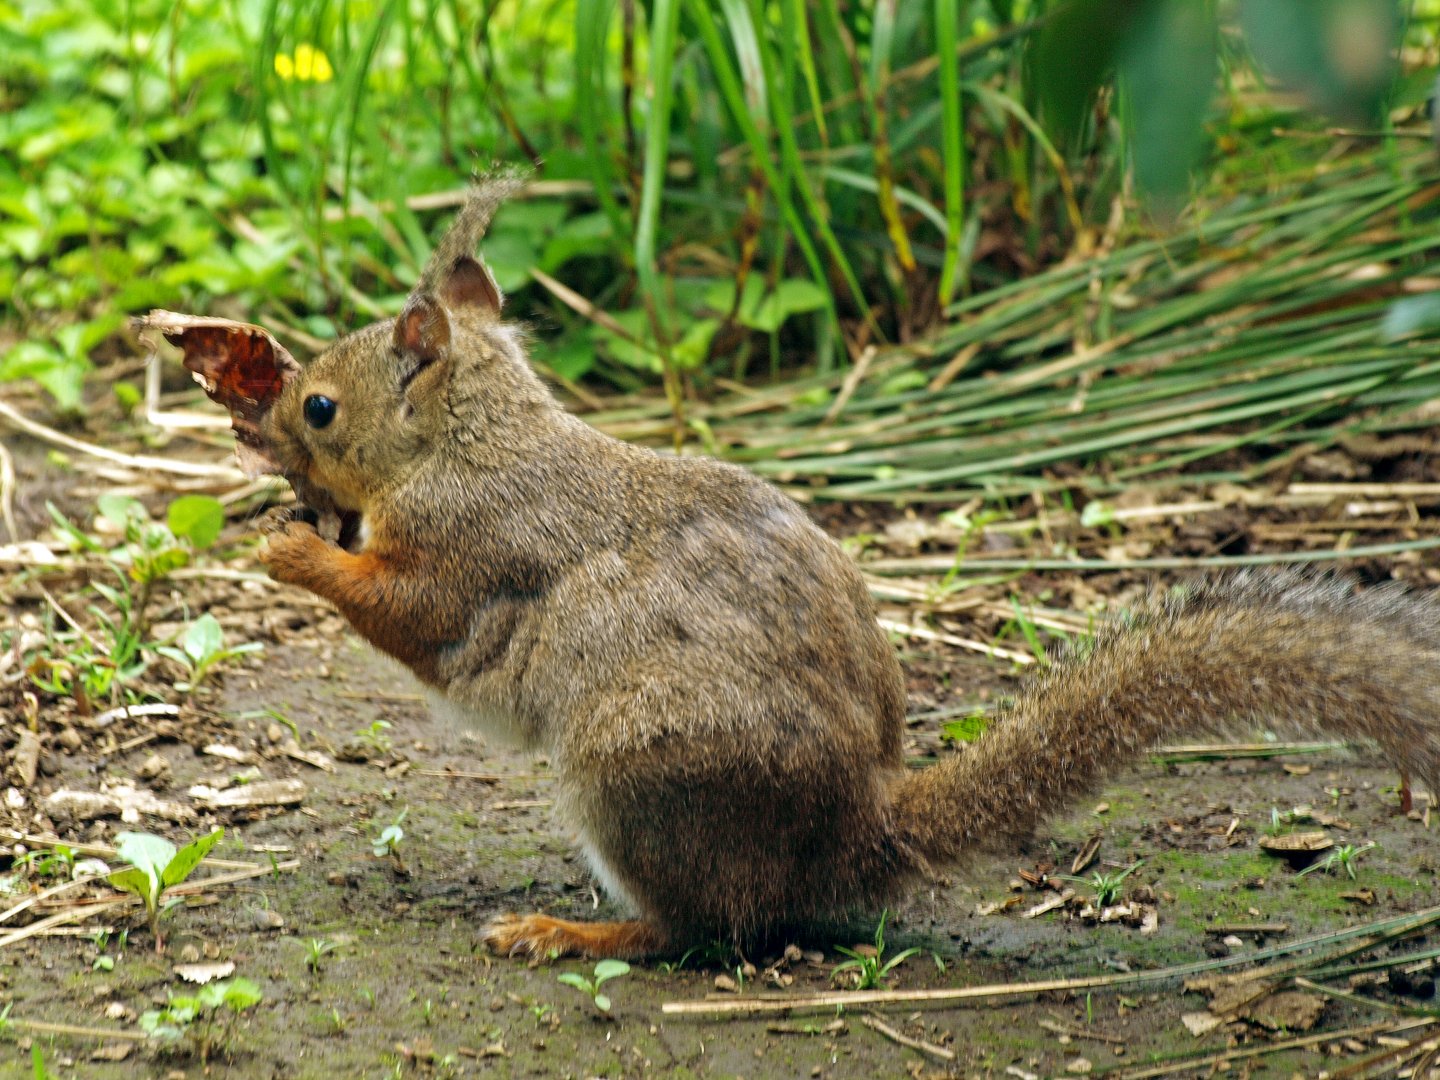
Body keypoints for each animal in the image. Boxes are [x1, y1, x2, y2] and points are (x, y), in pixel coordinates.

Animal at [156, 181, 1440, 960]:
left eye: (323, 408)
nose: (260, 425)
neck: (478, 435)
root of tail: (852, 836)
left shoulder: (475, 546)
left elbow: (410, 611)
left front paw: (287, 548)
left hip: (636, 775)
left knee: (701, 931)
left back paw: (573, 936)